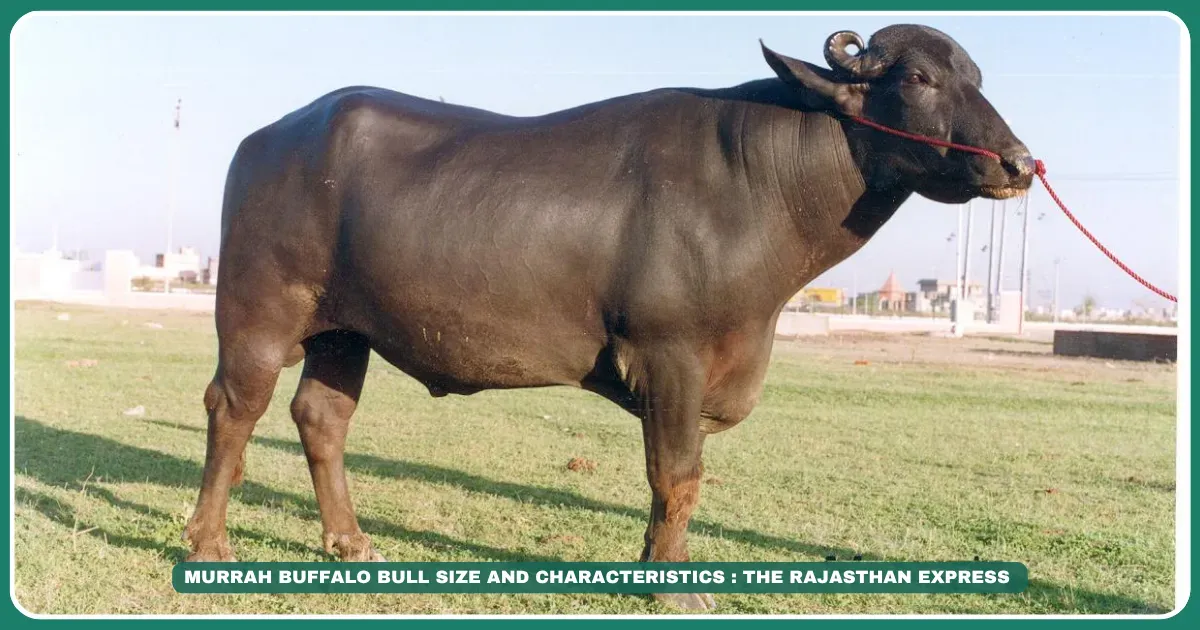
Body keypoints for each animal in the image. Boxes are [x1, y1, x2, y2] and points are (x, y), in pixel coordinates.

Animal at [182, 24, 1035, 610]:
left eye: (975, 76)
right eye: (919, 77)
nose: (1019, 163)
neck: (757, 187)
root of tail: (269, 137)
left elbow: (681, 476)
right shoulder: (670, 355)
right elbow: (678, 473)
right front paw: (672, 585)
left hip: (342, 332)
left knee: (321, 417)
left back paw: (352, 543)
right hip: (258, 313)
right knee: (234, 408)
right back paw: (210, 546)